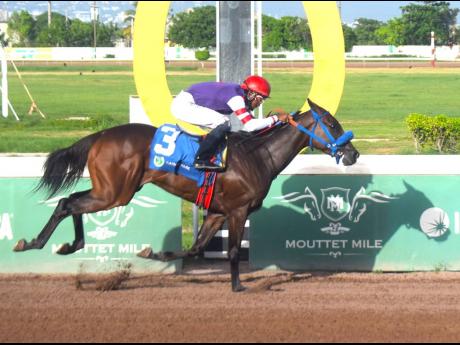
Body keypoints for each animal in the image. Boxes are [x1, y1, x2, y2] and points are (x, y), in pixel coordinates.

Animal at [13, 99, 360, 290]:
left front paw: (153, 254)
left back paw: (67, 246)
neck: (258, 156)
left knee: (72, 203)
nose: (353, 153)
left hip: (112, 189)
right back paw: (35, 243)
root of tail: (101, 134)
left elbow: (195, 248)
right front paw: (238, 287)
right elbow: (233, 251)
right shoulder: (238, 211)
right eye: (331, 123)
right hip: (115, 193)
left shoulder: (218, 211)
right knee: (67, 203)